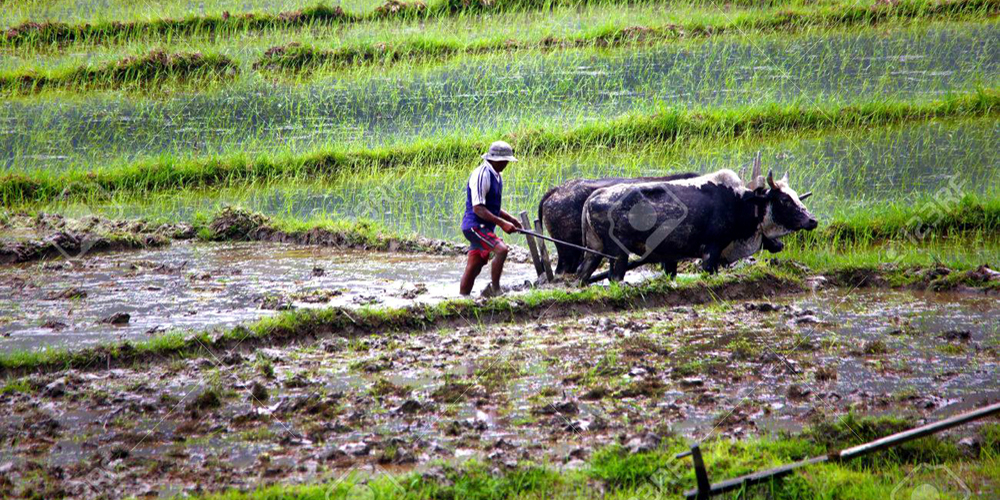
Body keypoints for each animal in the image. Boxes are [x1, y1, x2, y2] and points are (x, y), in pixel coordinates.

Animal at [577, 169, 817, 284]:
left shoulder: (672, 258)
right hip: (618, 254)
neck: (741, 202)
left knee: (582, 275)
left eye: (797, 196)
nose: (812, 220)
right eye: (784, 200)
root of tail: (593, 197)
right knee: (615, 277)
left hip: (594, 251)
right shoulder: (711, 250)